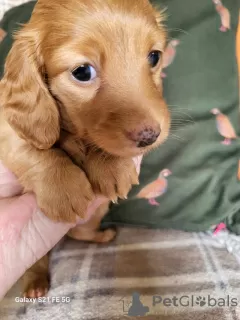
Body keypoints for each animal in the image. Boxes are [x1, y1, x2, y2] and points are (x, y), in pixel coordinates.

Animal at [0, 0, 170, 298]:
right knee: (38, 258)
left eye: (153, 57)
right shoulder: (6, 126)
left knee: (80, 233)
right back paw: (35, 282)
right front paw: (62, 187)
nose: (150, 136)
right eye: (82, 72)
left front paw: (110, 163)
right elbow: (31, 148)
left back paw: (104, 235)